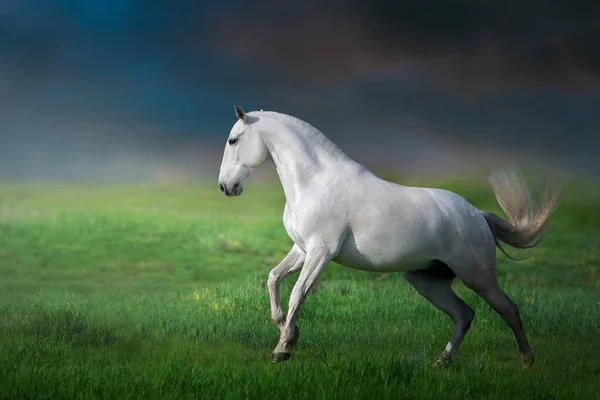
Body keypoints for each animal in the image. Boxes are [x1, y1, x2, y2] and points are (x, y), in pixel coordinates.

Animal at [217, 104, 564, 368]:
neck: (315, 181)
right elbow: (274, 279)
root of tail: (478, 215)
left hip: (478, 277)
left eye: (233, 140)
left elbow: (297, 292)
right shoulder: (302, 249)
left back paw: (527, 360)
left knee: (509, 310)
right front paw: (286, 329)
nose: (225, 187)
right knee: (464, 315)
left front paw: (282, 349)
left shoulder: (321, 252)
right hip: (428, 281)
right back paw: (442, 362)